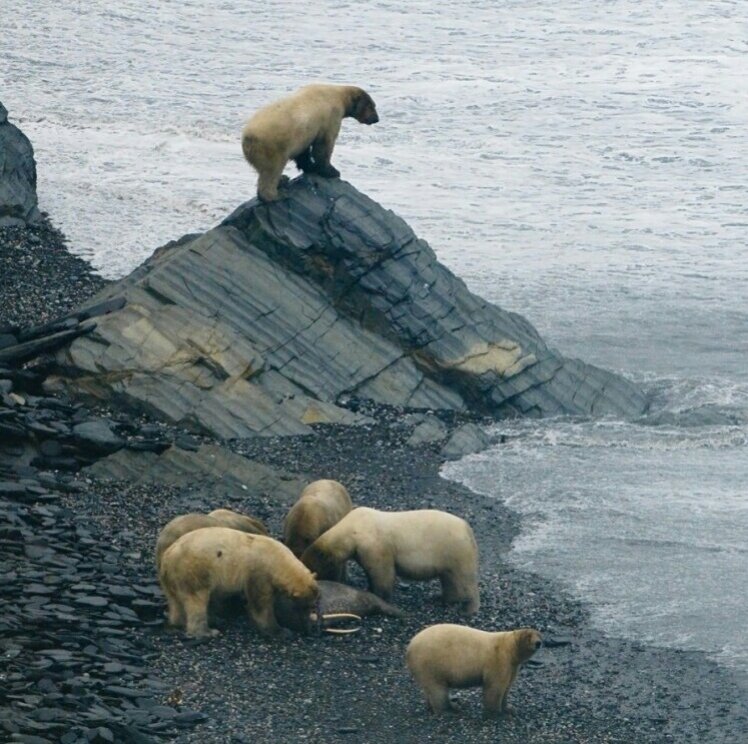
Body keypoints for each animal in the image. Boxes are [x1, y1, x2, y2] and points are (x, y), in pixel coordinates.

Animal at [159, 528, 318, 636]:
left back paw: (180, 622)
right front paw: (279, 630)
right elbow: (260, 604)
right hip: (194, 571)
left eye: (312, 605)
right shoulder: (258, 573)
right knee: (196, 601)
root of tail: (167, 557)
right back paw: (207, 632)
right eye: (306, 606)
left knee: (175, 601)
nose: (309, 627)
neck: (276, 558)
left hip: (170, 579)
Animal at [241, 83, 376, 201]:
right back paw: (275, 195)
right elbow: (324, 145)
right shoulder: (330, 116)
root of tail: (247, 138)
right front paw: (332, 171)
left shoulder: (303, 135)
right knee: (271, 171)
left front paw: (311, 167)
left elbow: (304, 152)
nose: (376, 119)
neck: (337, 95)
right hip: (272, 146)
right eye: (371, 106)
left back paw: (283, 179)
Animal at [298, 506, 480, 616]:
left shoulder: (374, 544)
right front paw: (369, 588)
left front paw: (380, 596)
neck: (353, 529)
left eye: (314, 571)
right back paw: (442, 599)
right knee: (449, 578)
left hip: (454, 549)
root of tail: (467, 528)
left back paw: (469, 608)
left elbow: (382, 572)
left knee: (464, 579)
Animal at [406, 624, 540, 716]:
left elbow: (507, 686)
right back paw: (449, 710)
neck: (509, 648)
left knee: (429, 688)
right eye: (529, 636)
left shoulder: (512, 666)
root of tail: (409, 646)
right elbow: (495, 687)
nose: (538, 643)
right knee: (437, 689)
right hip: (430, 662)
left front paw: (509, 708)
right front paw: (496, 713)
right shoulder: (498, 660)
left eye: (539, 635)